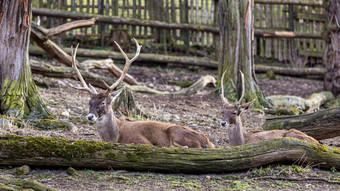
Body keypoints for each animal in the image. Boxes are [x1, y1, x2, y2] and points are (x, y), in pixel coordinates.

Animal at [70, 38, 214, 148]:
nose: (90, 116)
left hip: (176, 132)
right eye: (89, 102)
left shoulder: (141, 141)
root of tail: (208, 142)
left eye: (103, 102)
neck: (114, 136)